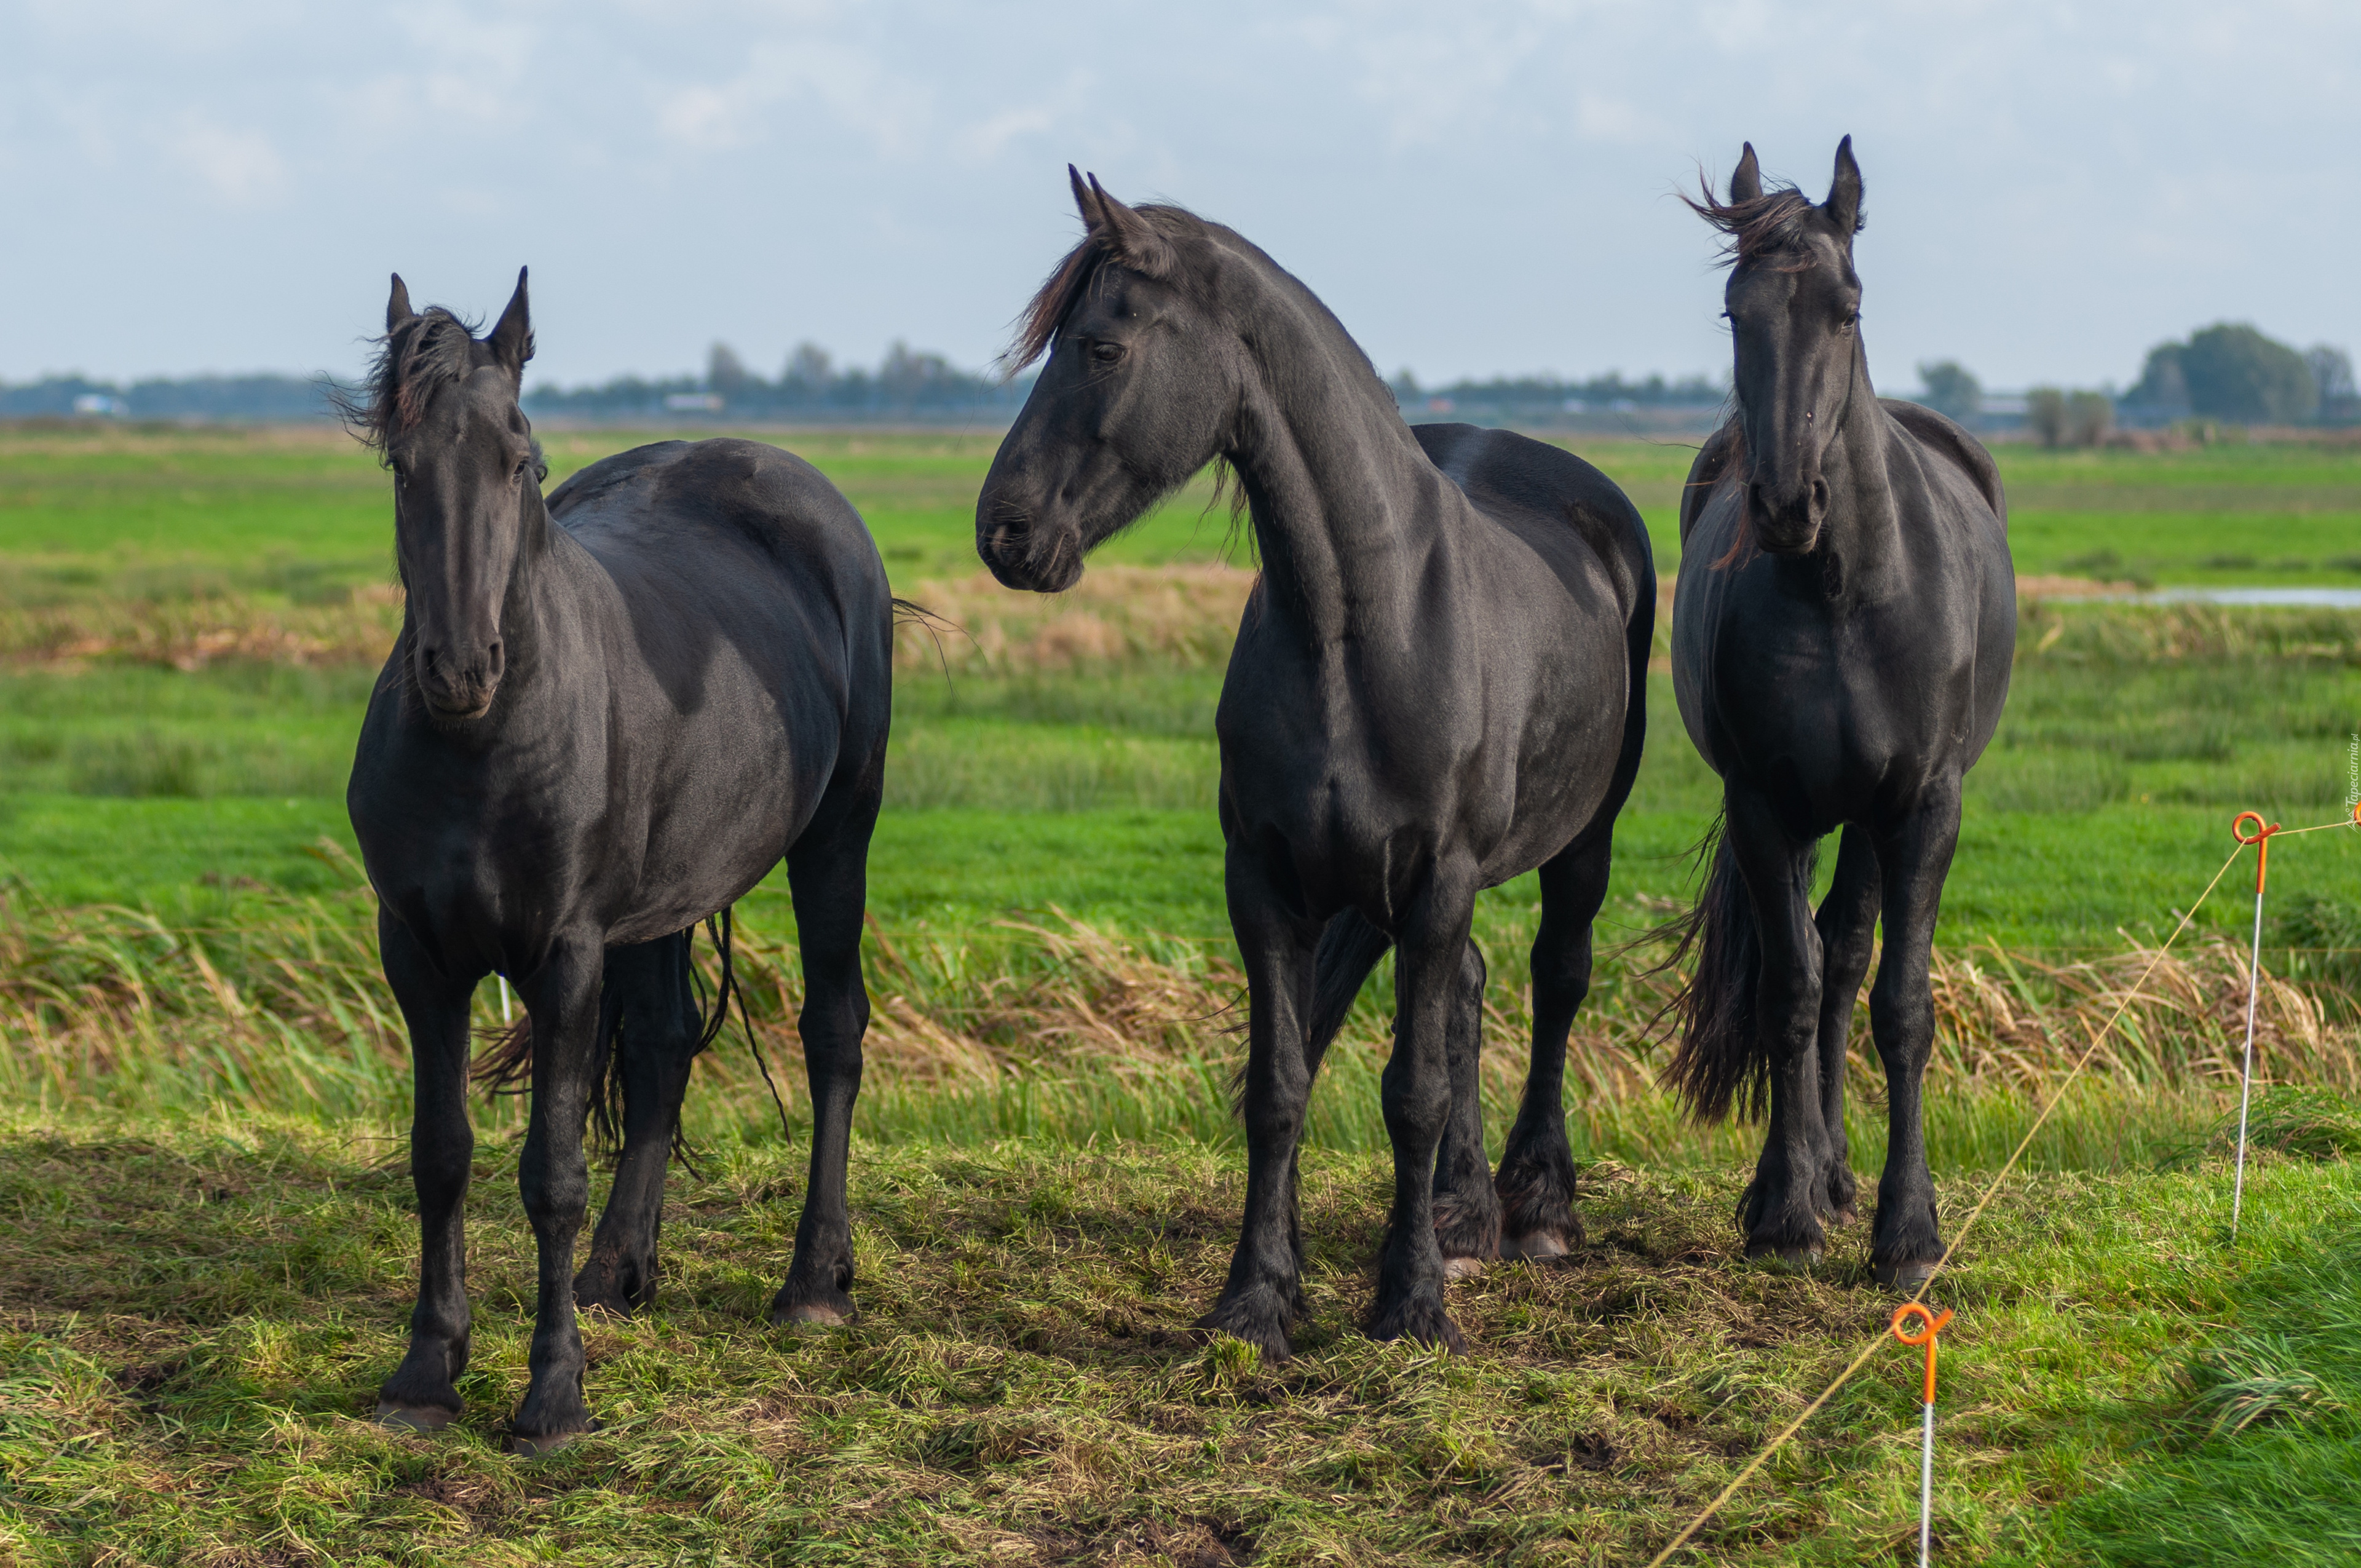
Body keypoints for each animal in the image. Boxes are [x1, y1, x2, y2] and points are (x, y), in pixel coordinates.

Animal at [349, 272, 892, 1454]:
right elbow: (441, 1155)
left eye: (523, 459)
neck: (482, 748)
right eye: (402, 468)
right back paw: (616, 1272)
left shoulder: (565, 956)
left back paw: (812, 1285)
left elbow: (550, 1173)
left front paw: (553, 1394)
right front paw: (426, 1372)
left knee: (834, 1031)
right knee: (662, 1047)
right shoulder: (419, 954)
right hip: (661, 905)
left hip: (837, 837)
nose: (459, 668)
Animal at [968, 171, 1653, 1360]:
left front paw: (1410, 1304)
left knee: (1557, 978)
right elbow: (1280, 1087)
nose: (1004, 534)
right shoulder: (1271, 881)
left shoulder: (1436, 880)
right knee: (1467, 990)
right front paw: (1258, 1298)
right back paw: (1462, 1212)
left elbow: (1413, 1091)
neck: (1359, 625)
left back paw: (1535, 1211)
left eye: (1102, 346)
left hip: (1579, 842)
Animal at [1671, 137, 2021, 1285]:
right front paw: (1784, 1210)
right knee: (1818, 966)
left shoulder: (1921, 808)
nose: (1787, 506)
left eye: (1848, 307)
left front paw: (1908, 1231)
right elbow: (1788, 991)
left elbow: (1899, 1004)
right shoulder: (1764, 806)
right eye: (1735, 310)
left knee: (1852, 956)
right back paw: (1809, 1177)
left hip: (1871, 822)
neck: (1842, 594)